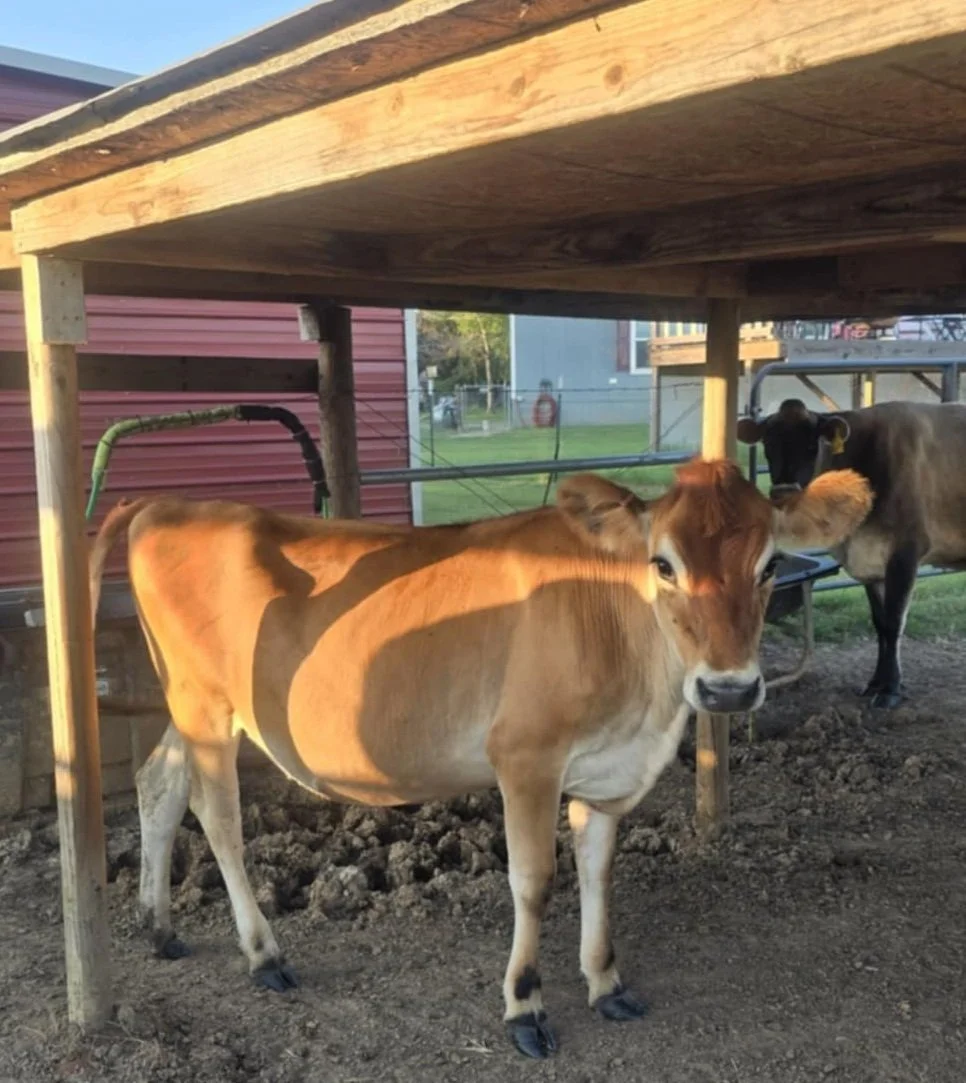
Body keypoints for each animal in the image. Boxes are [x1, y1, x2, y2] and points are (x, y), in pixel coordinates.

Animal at [89, 460, 870, 1058]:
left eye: (770, 564)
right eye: (664, 563)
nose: (728, 688)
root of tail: (169, 502)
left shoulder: (605, 769)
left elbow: (598, 872)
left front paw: (606, 982)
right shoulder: (525, 756)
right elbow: (534, 880)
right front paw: (526, 1005)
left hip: (184, 703)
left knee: (158, 783)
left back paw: (159, 925)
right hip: (207, 706)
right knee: (218, 818)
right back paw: (264, 954)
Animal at [738, 398, 966, 708]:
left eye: (812, 446)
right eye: (767, 445)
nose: (784, 493)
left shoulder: (905, 553)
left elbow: (894, 623)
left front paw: (890, 690)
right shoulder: (870, 562)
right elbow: (880, 624)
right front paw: (876, 683)